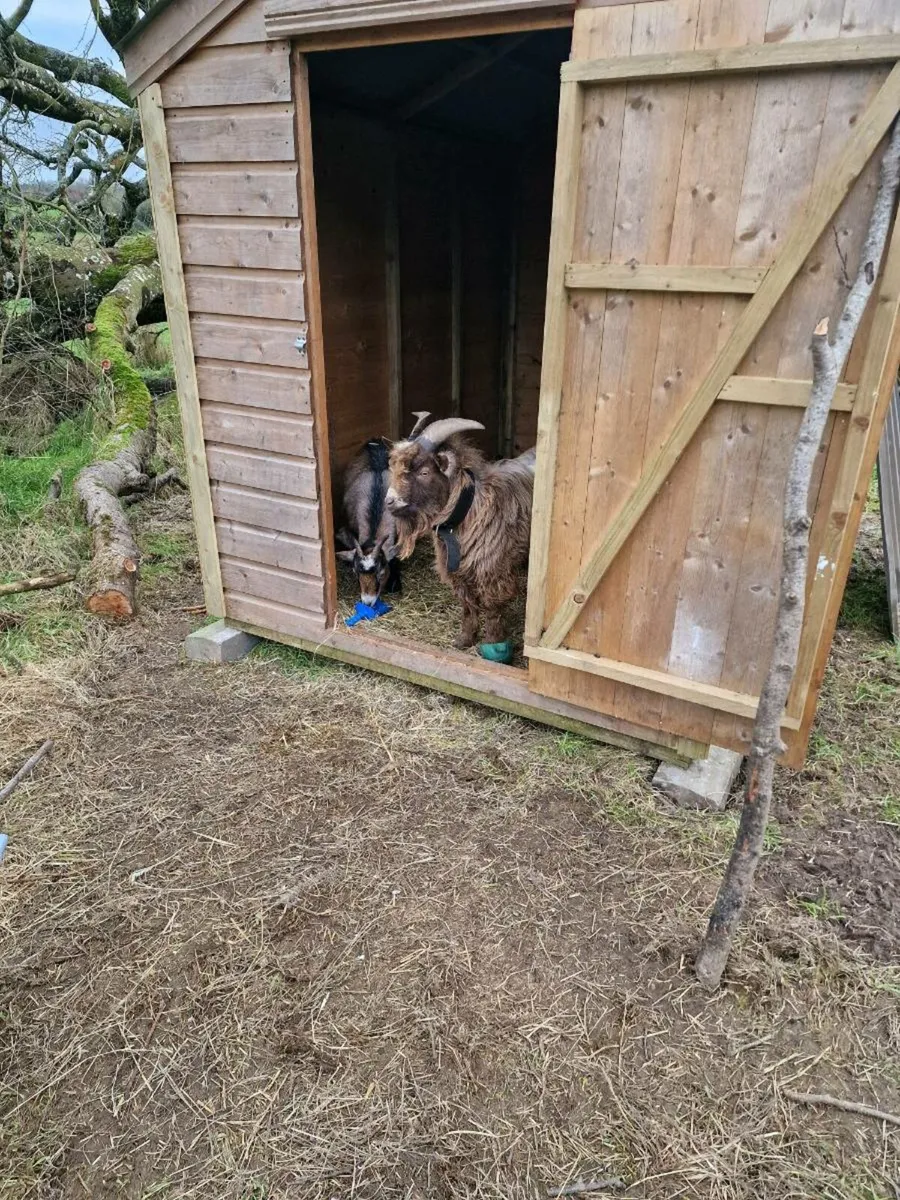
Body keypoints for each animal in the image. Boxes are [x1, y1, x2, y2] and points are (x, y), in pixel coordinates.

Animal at [385, 415, 534, 650]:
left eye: (424, 472)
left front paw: (492, 643)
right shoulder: (458, 573)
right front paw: (464, 640)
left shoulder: (492, 572)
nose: (390, 501)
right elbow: (467, 606)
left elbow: (492, 609)